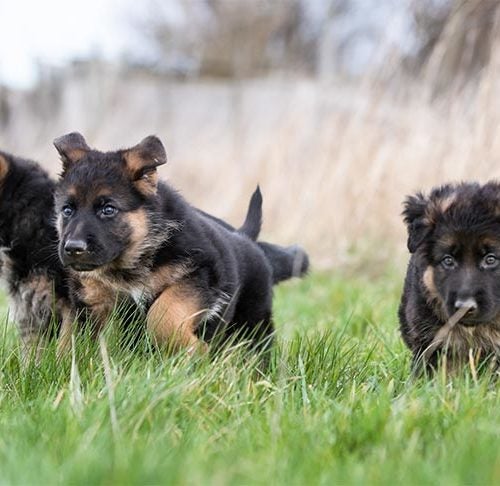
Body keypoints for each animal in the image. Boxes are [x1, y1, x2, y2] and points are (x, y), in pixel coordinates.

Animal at [54, 133, 302, 352]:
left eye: (108, 209)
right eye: (67, 210)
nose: (73, 248)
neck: (134, 258)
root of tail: (245, 237)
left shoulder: (198, 275)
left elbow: (163, 312)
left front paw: (193, 350)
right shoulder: (91, 301)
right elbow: (76, 340)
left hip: (252, 323)